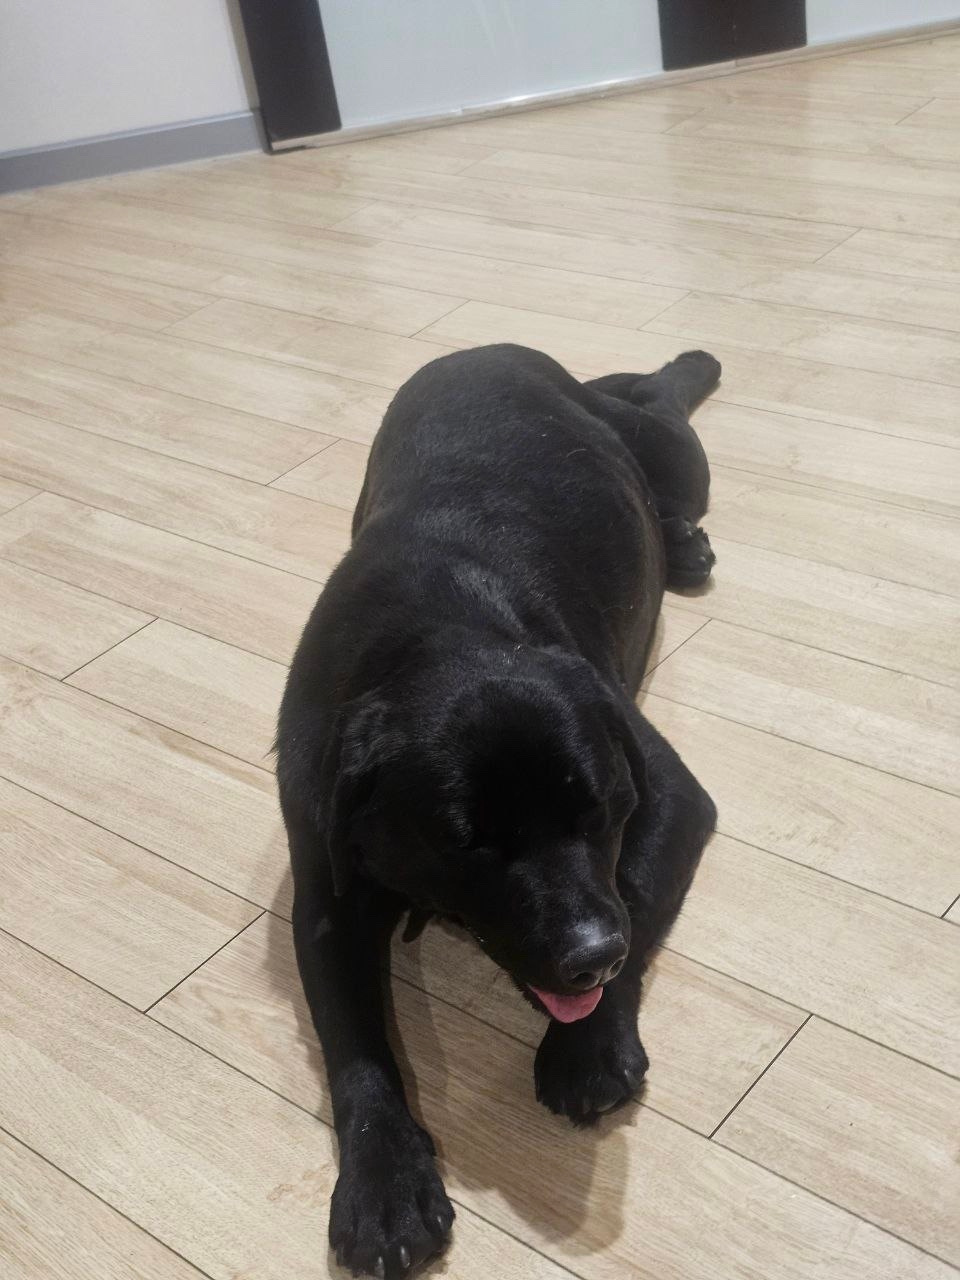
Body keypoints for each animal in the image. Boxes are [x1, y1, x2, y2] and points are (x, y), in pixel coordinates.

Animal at [276, 343, 719, 1278]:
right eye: (468, 843)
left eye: (604, 813)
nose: (591, 955)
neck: (436, 629)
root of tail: (503, 348)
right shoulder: (326, 895)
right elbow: (354, 1043)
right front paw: (384, 1184)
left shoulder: (670, 794)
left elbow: (636, 895)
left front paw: (588, 1050)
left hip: (670, 450)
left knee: (665, 402)